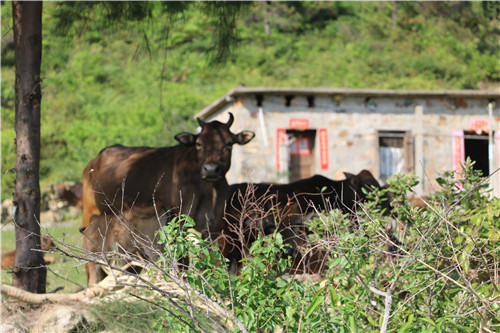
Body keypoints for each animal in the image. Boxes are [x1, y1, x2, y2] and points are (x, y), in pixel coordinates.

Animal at [83, 113, 254, 282]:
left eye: (229, 144)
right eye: (199, 144)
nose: (211, 169)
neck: (208, 190)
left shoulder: (213, 225)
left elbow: (211, 258)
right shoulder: (179, 222)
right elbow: (183, 260)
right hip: (89, 217)